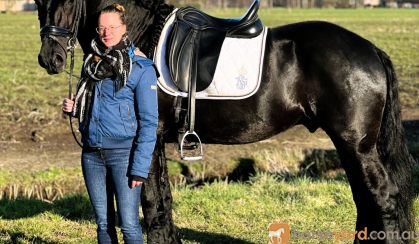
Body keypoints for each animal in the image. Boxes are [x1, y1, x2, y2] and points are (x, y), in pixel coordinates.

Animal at [34, 0, 416, 242]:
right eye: (38, 0)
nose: (50, 58)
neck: (140, 42)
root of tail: (370, 50)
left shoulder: (148, 140)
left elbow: (153, 204)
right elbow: (163, 202)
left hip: (357, 145)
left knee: (383, 198)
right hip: (350, 145)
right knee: (365, 199)